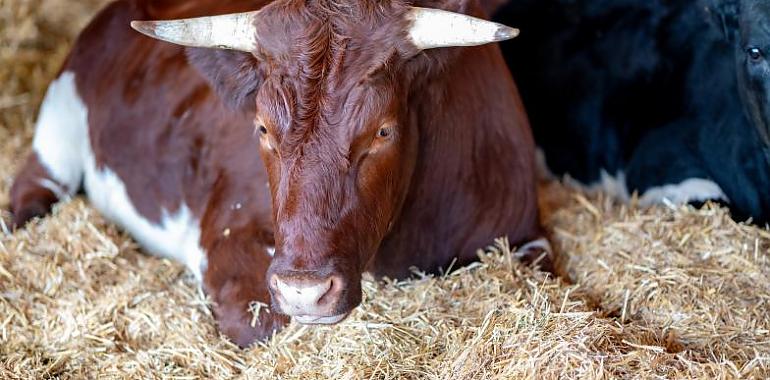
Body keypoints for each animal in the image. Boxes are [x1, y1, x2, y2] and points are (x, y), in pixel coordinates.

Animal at [7, 0, 544, 348]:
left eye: (382, 130)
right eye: (262, 127)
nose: (304, 291)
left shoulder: (526, 236)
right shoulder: (228, 238)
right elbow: (262, 325)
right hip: (58, 123)